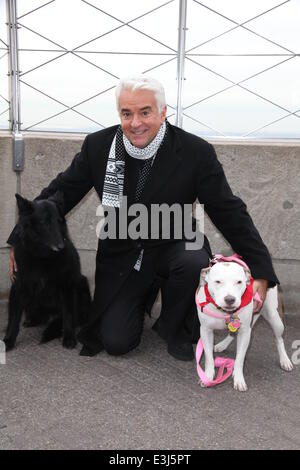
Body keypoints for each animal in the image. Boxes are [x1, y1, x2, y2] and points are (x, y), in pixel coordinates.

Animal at [3, 190, 91, 348]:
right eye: (45, 222)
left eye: (59, 221)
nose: (61, 247)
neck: (42, 257)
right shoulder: (18, 287)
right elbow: (13, 319)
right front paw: (8, 340)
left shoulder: (67, 286)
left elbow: (68, 314)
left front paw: (69, 338)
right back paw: (32, 320)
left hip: (81, 283)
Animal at [196, 255, 292, 392]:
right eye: (218, 282)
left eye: (239, 282)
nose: (230, 299)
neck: (223, 311)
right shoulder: (205, 330)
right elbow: (209, 357)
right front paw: (208, 377)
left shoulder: (245, 332)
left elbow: (240, 358)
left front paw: (238, 379)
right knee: (232, 333)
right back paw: (222, 345)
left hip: (275, 319)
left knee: (279, 339)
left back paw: (285, 360)